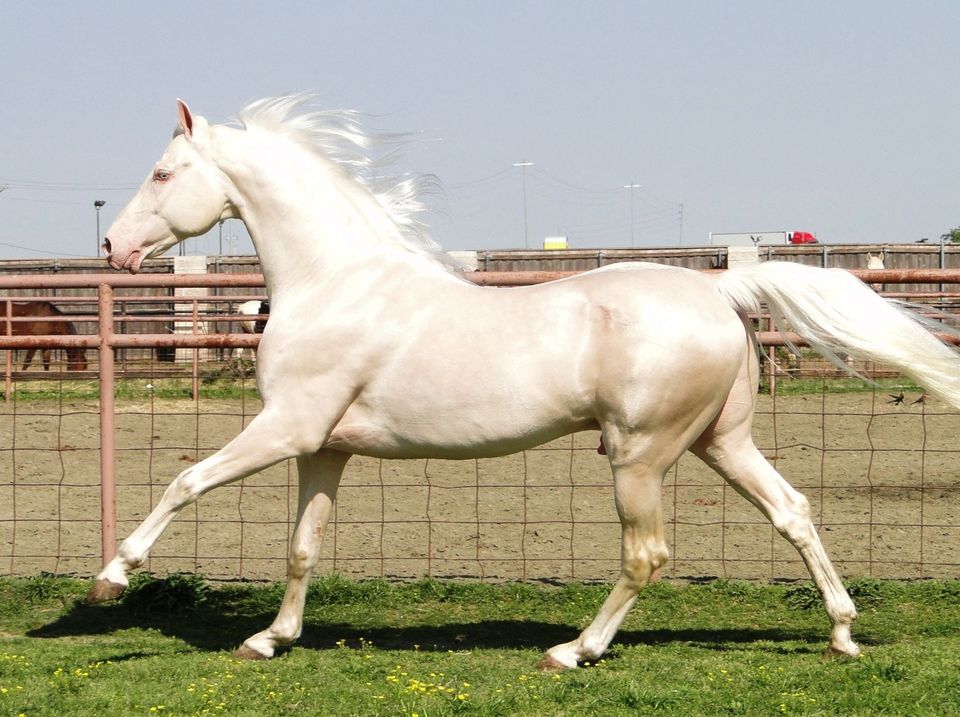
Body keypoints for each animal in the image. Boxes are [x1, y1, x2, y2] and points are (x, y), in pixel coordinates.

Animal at [92, 95, 960, 664]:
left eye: (164, 173)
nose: (112, 246)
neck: (336, 282)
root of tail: (717, 286)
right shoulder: (324, 447)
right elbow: (302, 545)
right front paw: (269, 638)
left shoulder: (285, 427)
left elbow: (185, 481)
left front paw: (110, 579)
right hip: (722, 441)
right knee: (793, 510)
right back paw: (842, 632)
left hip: (640, 454)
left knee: (648, 554)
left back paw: (573, 650)